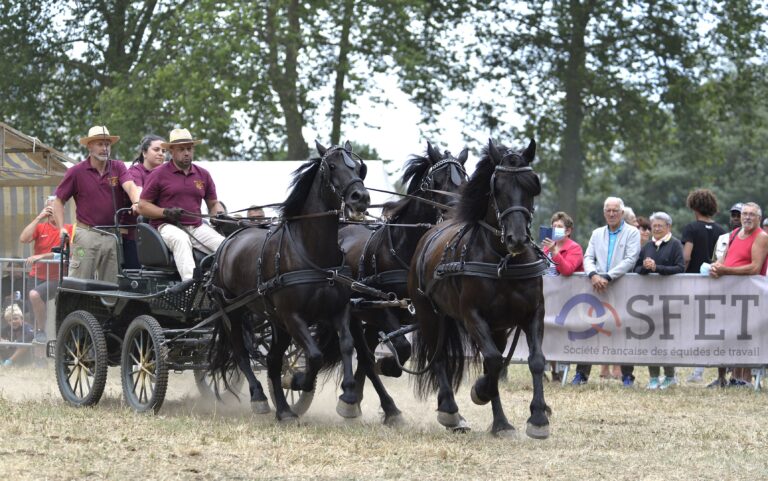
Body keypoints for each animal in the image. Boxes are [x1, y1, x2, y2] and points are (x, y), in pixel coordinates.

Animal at [207, 140, 368, 420]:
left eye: (359, 167)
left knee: (272, 360)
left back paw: (283, 410)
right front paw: (298, 380)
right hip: (232, 313)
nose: (361, 197)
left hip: (276, 322)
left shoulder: (338, 310)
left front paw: (348, 396)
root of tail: (229, 239)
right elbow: (314, 354)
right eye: (332, 166)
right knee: (241, 353)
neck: (313, 253)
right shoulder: (293, 316)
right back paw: (259, 397)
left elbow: (347, 345)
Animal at [340, 142, 468, 424]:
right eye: (436, 181)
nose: (456, 213)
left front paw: (450, 409)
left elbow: (435, 354)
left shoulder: (431, 313)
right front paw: (388, 365)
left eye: (464, 180)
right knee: (364, 356)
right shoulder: (381, 306)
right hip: (357, 313)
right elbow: (401, 347)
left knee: (366, 354)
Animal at [412, 137, 548, 436]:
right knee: (440, 359)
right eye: (497, 188)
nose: (517, 239)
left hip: (498, 327)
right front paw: (479, 391)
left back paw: (501, 423)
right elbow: (494, 360)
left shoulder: (533, 313)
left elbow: (535, 360)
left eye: (532, 185)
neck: (503, 260)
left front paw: (538, 417)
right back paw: (451, 411)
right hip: (429, 315)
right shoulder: (472, 315)